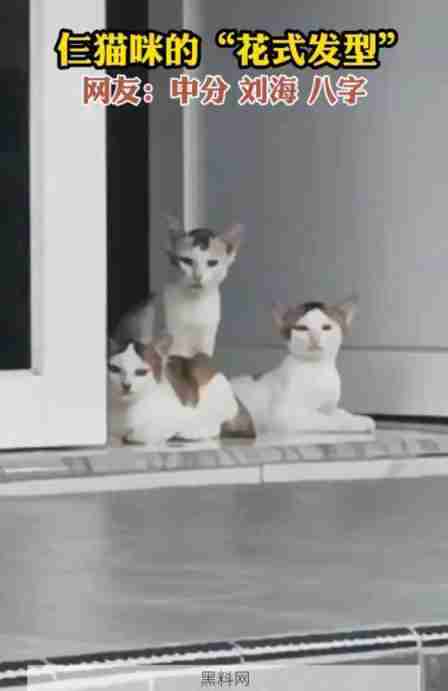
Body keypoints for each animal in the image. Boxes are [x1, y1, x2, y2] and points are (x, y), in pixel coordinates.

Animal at [162, 216, 244, 358]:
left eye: (212, 263)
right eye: (186, 261)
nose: (198, 276)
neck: (195, 303)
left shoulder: (207, 341)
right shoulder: (173, 341)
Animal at [231, 297, 375, 436]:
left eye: (326, 327)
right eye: (302, 328)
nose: (315, 338)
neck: (317, 369)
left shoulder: (329, 407)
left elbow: (338, 412)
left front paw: (359, 418)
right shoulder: (283, 415)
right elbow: (325, 418)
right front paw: (354, 423)